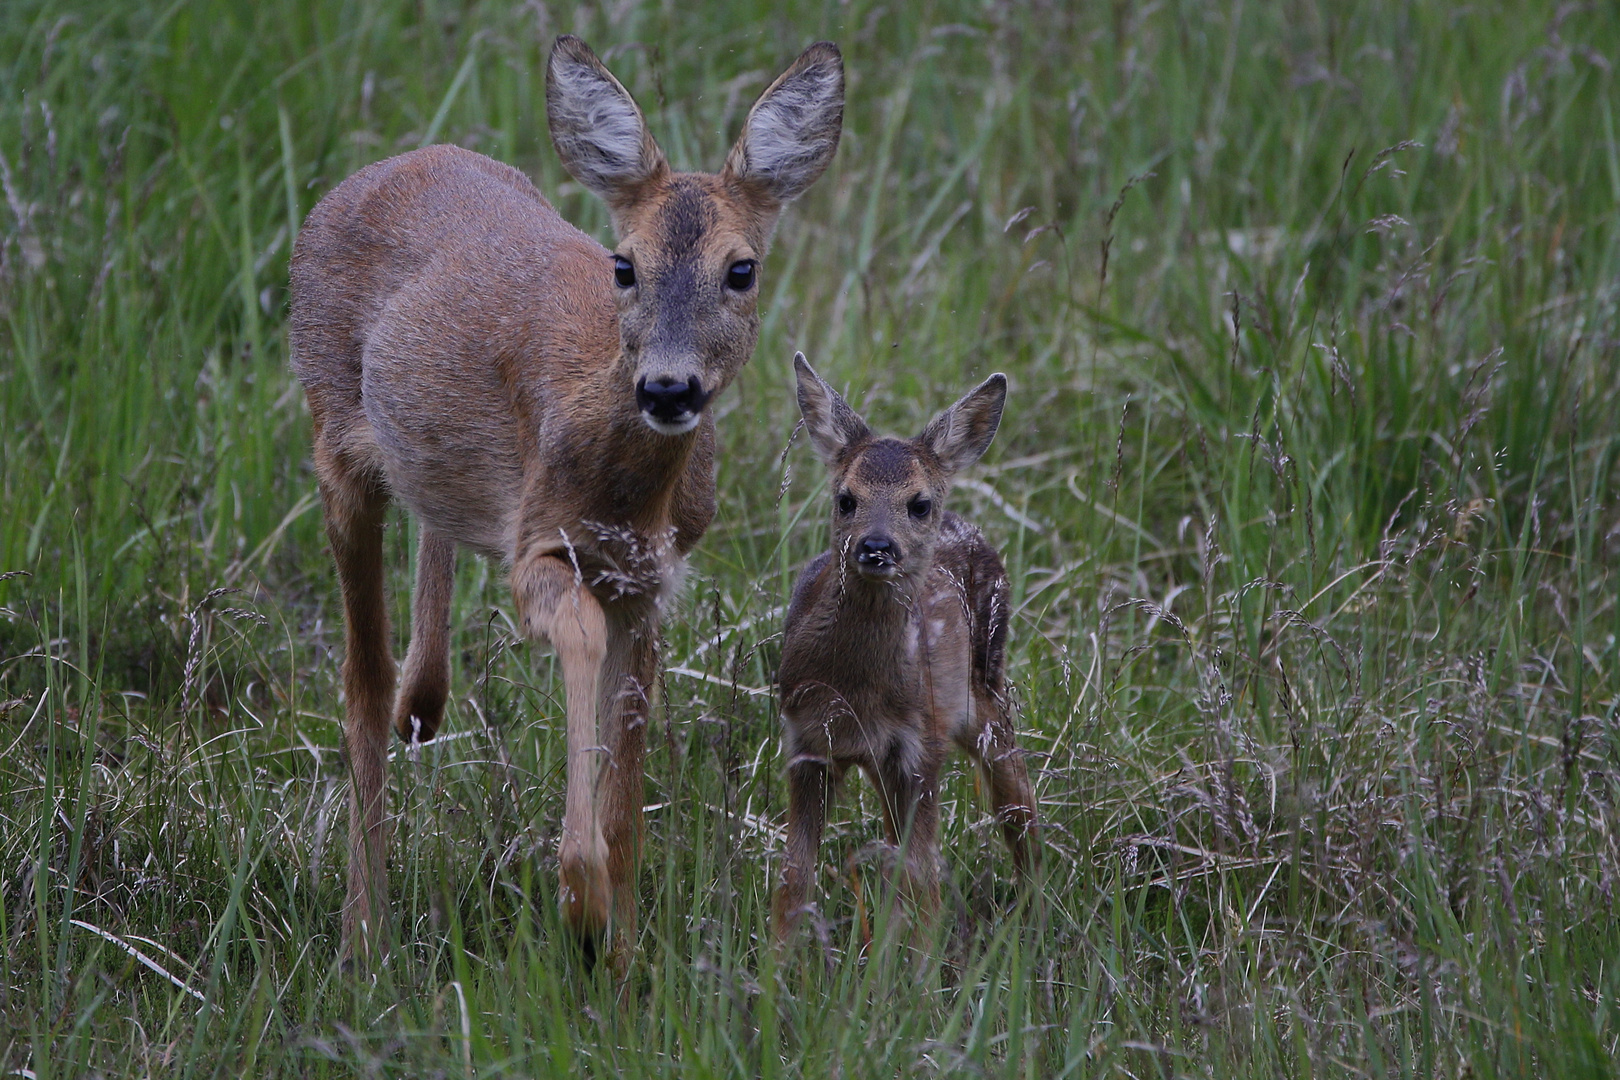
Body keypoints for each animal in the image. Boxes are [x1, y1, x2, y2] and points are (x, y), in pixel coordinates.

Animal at [293, 38, 848, 965]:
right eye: (624, 264)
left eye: (741, 270)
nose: (667, 387)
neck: (622, 492)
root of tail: (386, 166)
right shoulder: (537, 547)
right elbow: (579, 635)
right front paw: (580, 895)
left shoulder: (652, 580)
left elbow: (630, 794)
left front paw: (620, 961)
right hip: (331, 438)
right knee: (360, 678)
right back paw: (363, 937)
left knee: (423, 558)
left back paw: (423, 706)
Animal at [774, 354, 1036, 945]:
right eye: (845, 498)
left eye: (918, 503)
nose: (877, 546)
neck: (853, 689)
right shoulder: (806, 742)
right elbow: (794, 881)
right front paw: (776, 966)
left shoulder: (920, 747)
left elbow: (921, 886)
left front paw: (915, 967)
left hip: (987, 688)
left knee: (1017, 803)